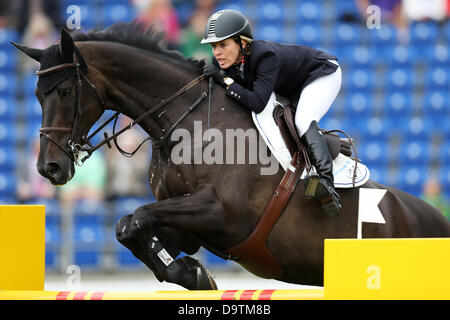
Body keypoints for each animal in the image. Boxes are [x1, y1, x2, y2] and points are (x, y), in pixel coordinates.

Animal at [11, 23, 450, 290]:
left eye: (65, 91)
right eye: (36, 95)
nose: (49, 168)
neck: (183, 118)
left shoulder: (221, 212)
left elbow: (137, 217)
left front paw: (193, 275)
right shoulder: (190, 226)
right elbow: (129, 227)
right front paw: (191, 274)